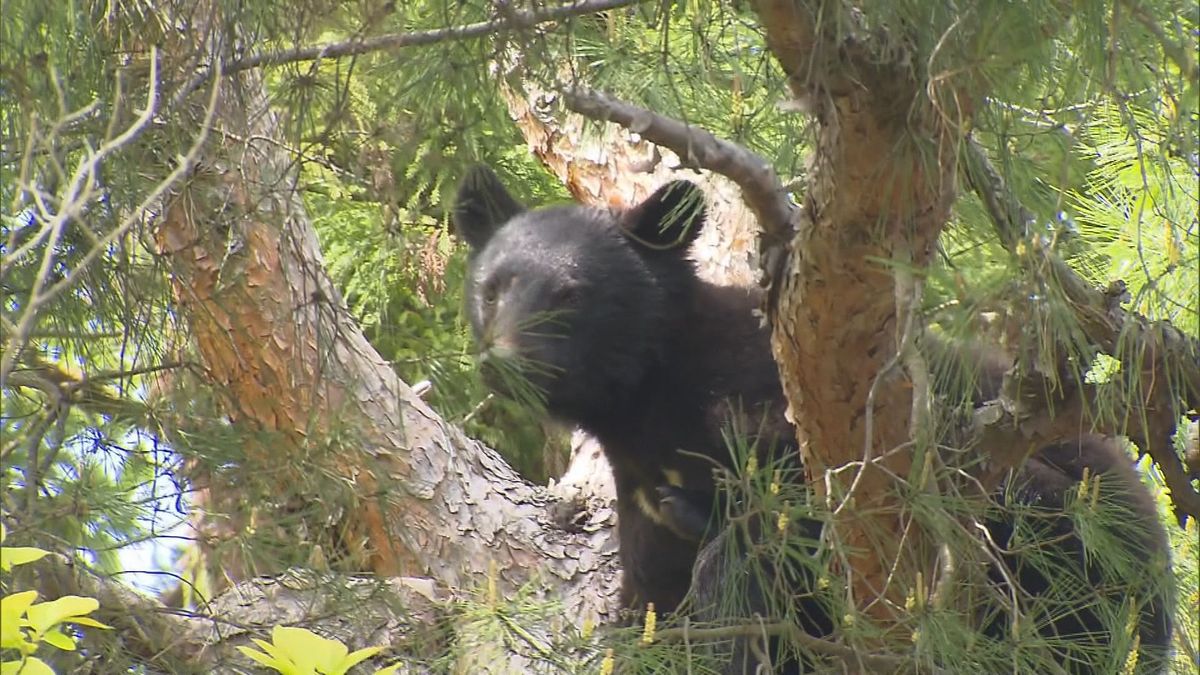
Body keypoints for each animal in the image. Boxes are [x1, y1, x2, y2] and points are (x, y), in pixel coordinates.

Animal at [451, 164, 1171, 672]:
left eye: (570, 294)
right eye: (492, 288)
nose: (503, 364)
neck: (650, 406)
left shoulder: (782, 414)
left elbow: (778, 525)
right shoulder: (641, 496)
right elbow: (654, 594)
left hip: (1062, 525)